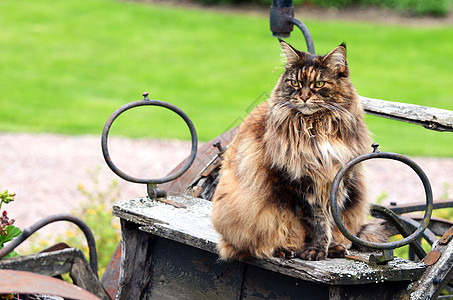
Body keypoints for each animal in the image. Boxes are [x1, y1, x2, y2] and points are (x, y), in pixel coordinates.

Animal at [210, 39, 386, 260]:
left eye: (319, 84)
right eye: (294, 83)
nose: (303, 97)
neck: (317, 126)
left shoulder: (339, 179)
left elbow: (333, 219)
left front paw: (332, 247)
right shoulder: (300, 182)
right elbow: (317, 223)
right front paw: (316, 249)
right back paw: (284, 249)